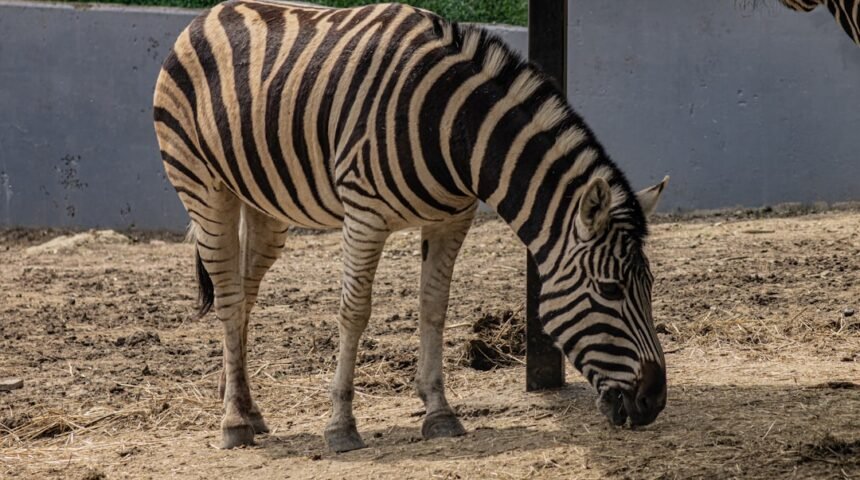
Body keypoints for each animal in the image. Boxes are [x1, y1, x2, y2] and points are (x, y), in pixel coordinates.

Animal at [153, 0, 670, 451]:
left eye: (649, 285)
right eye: (609, 290)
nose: (654, 401)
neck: (457, 130)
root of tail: (209, 13)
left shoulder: (452, 219)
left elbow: (434, 308)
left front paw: (439, 413)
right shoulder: (364, 213)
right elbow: (354, 312)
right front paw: (341, 427)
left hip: (264, 205)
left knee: (243, 293)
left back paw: (246, 407)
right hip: (204, 187)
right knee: (228, 297)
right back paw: (234, 423)